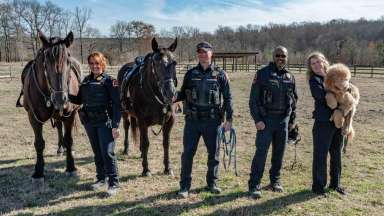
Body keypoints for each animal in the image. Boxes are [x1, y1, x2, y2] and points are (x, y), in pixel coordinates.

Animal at [21, 30, 81, 182]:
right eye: (46, 63)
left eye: (68, 62)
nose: (61, 99)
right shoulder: (33, 117)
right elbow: (39, 144)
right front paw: (38, 172)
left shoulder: (70, 115)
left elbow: (69, 140)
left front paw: (71, 167)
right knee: (59, 127)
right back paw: (60, 148)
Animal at [118, 38, 178, 176]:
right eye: (156, 63)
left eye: (174, 63)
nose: (170, 93)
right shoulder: (142, 120)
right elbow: (146, 143)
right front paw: (146, 169)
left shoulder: (169, 121)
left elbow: (166, 143)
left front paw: (168, 168)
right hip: (125, 112)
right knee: (126, 126)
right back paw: (126, 149)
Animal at [176, 41, 232, 198]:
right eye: (199, 51)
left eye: (205, 51)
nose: (202, 53)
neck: (205, 69)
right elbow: (187, 157)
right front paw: (183, 188)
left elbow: (228, 95)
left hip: (214, 137)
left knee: (214, 156)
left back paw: (213, 185)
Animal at [248, 46, 298, 199]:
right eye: (278, 55)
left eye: (283, 56)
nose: (281, 59)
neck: (279, 71)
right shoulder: (257, 77)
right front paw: (254, 187)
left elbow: (294, 100)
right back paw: (254, 188)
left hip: (281, 134)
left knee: (278, 154)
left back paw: (275, 183)